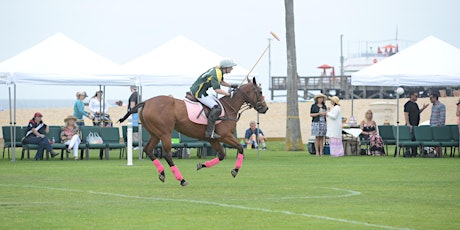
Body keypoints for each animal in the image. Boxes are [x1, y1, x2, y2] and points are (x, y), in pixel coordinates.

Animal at [119, 78, 270, 186]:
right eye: (260, 92)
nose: (265, 108)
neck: (229, 107)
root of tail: (146, 102)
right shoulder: (225, 136)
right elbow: (240, 148)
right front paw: (235, 170)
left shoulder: (212, 139)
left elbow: (221, 155)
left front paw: (201, 165)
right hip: (165, 133)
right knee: (167, 155)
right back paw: (181, 179)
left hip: (155, 134)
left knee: (148, 150)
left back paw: (162, 173)